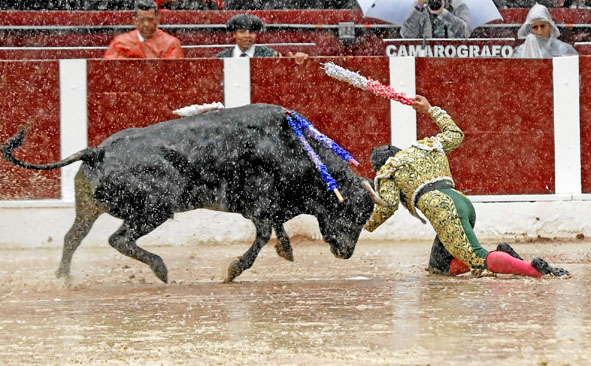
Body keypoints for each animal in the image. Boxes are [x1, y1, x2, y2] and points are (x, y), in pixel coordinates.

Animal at [2, 103, 374, 284]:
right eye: (353, 213)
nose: (347, 253)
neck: (293, 148)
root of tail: (98, 150)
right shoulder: (260, 205)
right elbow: (264, 235)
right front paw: (235, 269)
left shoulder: (268, 207)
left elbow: (275, 230)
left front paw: (285, 252)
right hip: (153, 209)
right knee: (118, 239)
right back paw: (160, 270)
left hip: (88, 207)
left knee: (72, 237)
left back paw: (64, 278)